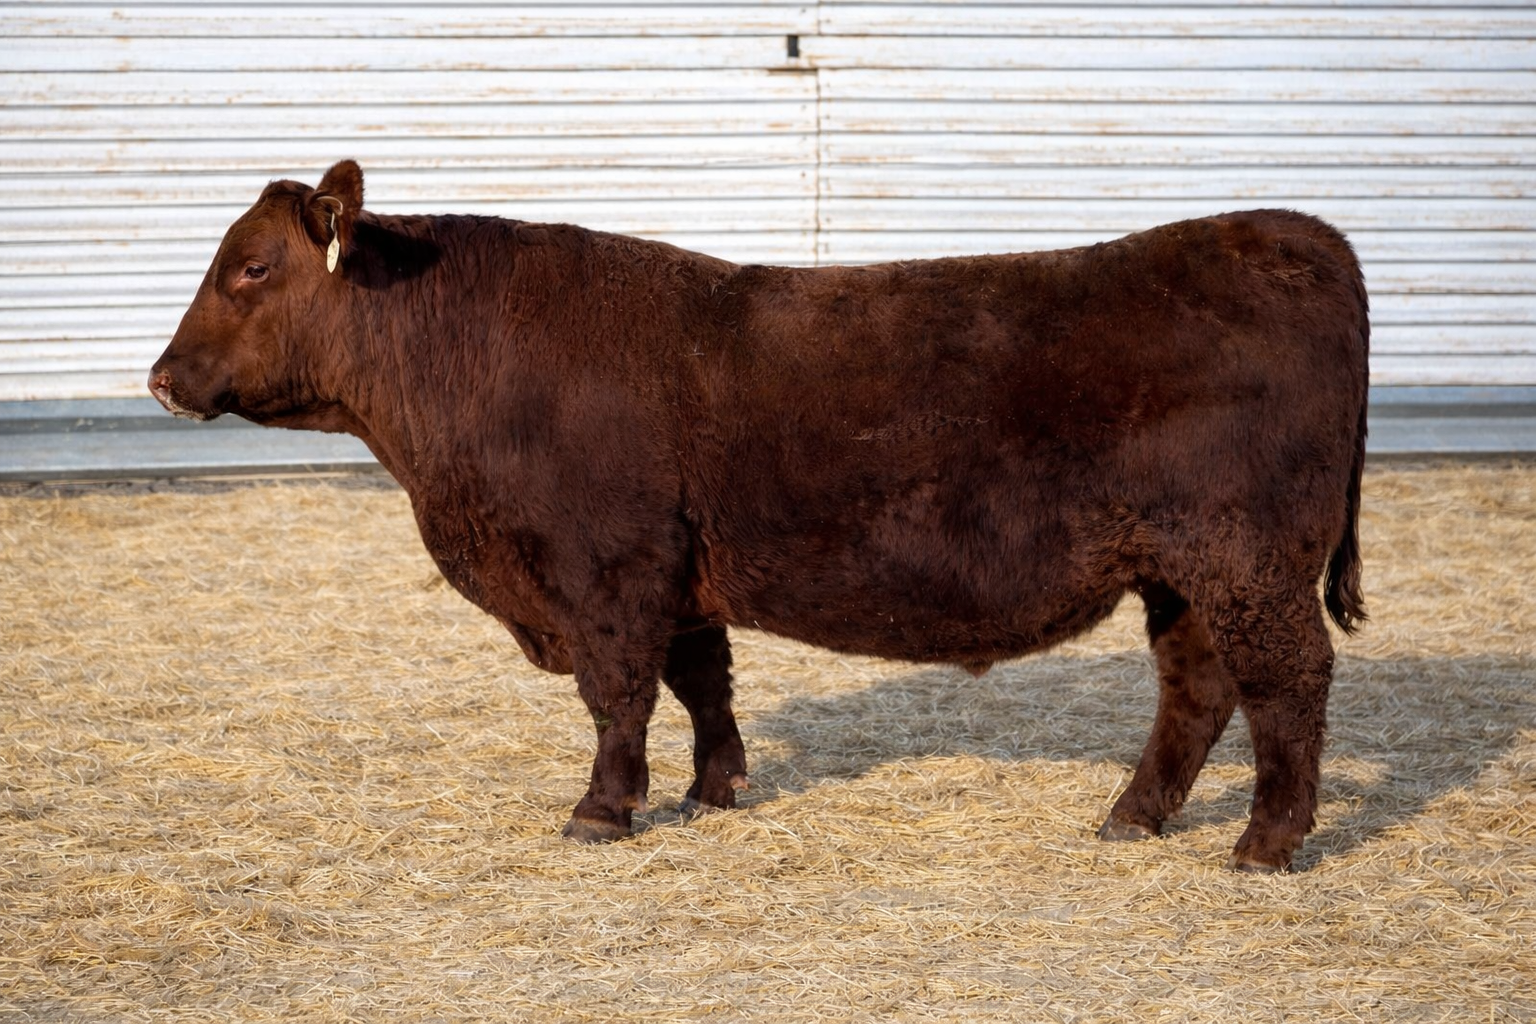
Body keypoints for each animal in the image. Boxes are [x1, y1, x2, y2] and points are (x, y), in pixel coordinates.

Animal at [150, 160, 1368, 873]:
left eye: (250, 267)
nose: (160, 378)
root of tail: (1288, 231)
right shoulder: (679, 575)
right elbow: (703, 682)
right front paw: (714, 789)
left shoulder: (608, 572)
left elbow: (619, 695)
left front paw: (602, 811)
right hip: (1184, 570)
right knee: (1200, 688)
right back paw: (1132, 816)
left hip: (1247, 559)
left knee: (1288, 682)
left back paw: (1265, 843)